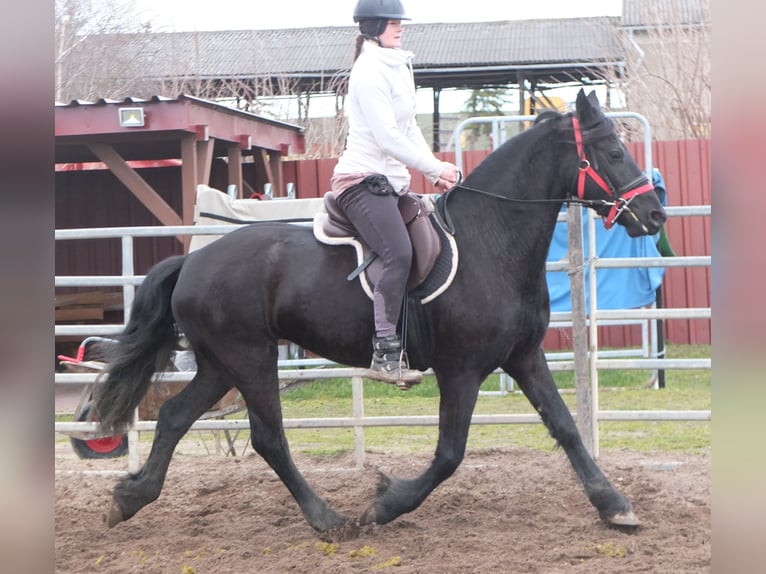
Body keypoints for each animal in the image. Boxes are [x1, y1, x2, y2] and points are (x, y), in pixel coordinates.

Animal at [94, 90, 664, 540]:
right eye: (613, 151)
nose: (655, 212)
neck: (492, 239)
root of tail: (192, 260)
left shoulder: (523, 357)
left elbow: (565, 427)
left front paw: (615, 506)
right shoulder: (461, 372)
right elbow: (449, 454)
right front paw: (386, 504)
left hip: (220, 365)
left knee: (174, 416)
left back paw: (130, 499)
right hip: (251, 360)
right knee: (268, 438)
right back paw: (328, 520)